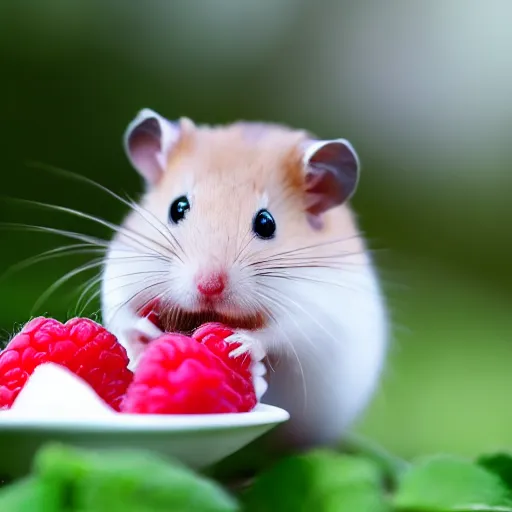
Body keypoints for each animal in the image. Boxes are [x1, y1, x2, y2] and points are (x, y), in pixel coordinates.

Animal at [101, 108, 388, 448]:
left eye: (266, 223)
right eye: (177, 207)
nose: (208, 286)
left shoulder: (316, 311)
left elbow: (280, 333)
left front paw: (239, 344)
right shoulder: (121, 268)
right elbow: (123, 313)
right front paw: (144, 336)